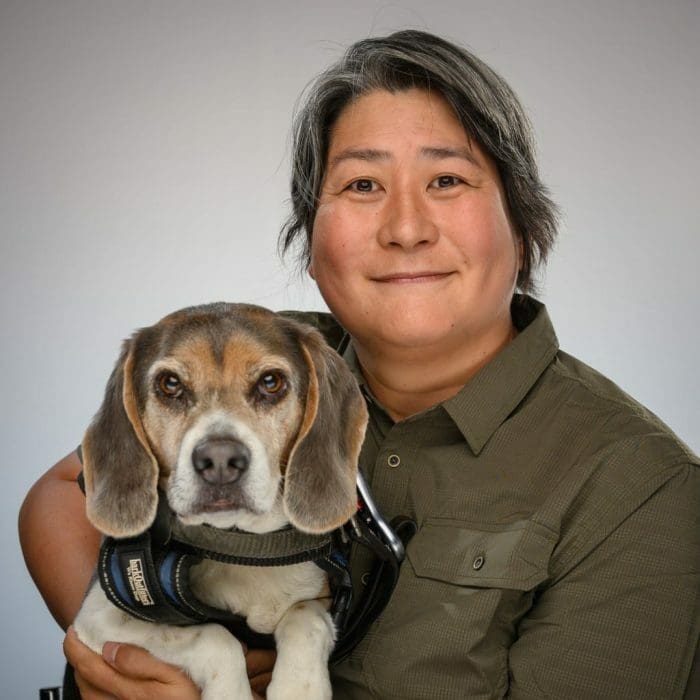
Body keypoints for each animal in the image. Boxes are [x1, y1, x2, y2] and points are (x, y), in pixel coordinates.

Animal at [72, 302, 366, 700]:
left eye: (270, 382)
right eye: (170, 384)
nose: (221, 460)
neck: (241, 545)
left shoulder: (325, 600)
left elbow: (304, 617)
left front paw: (299, 688)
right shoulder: (98, 617)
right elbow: (216, 635)